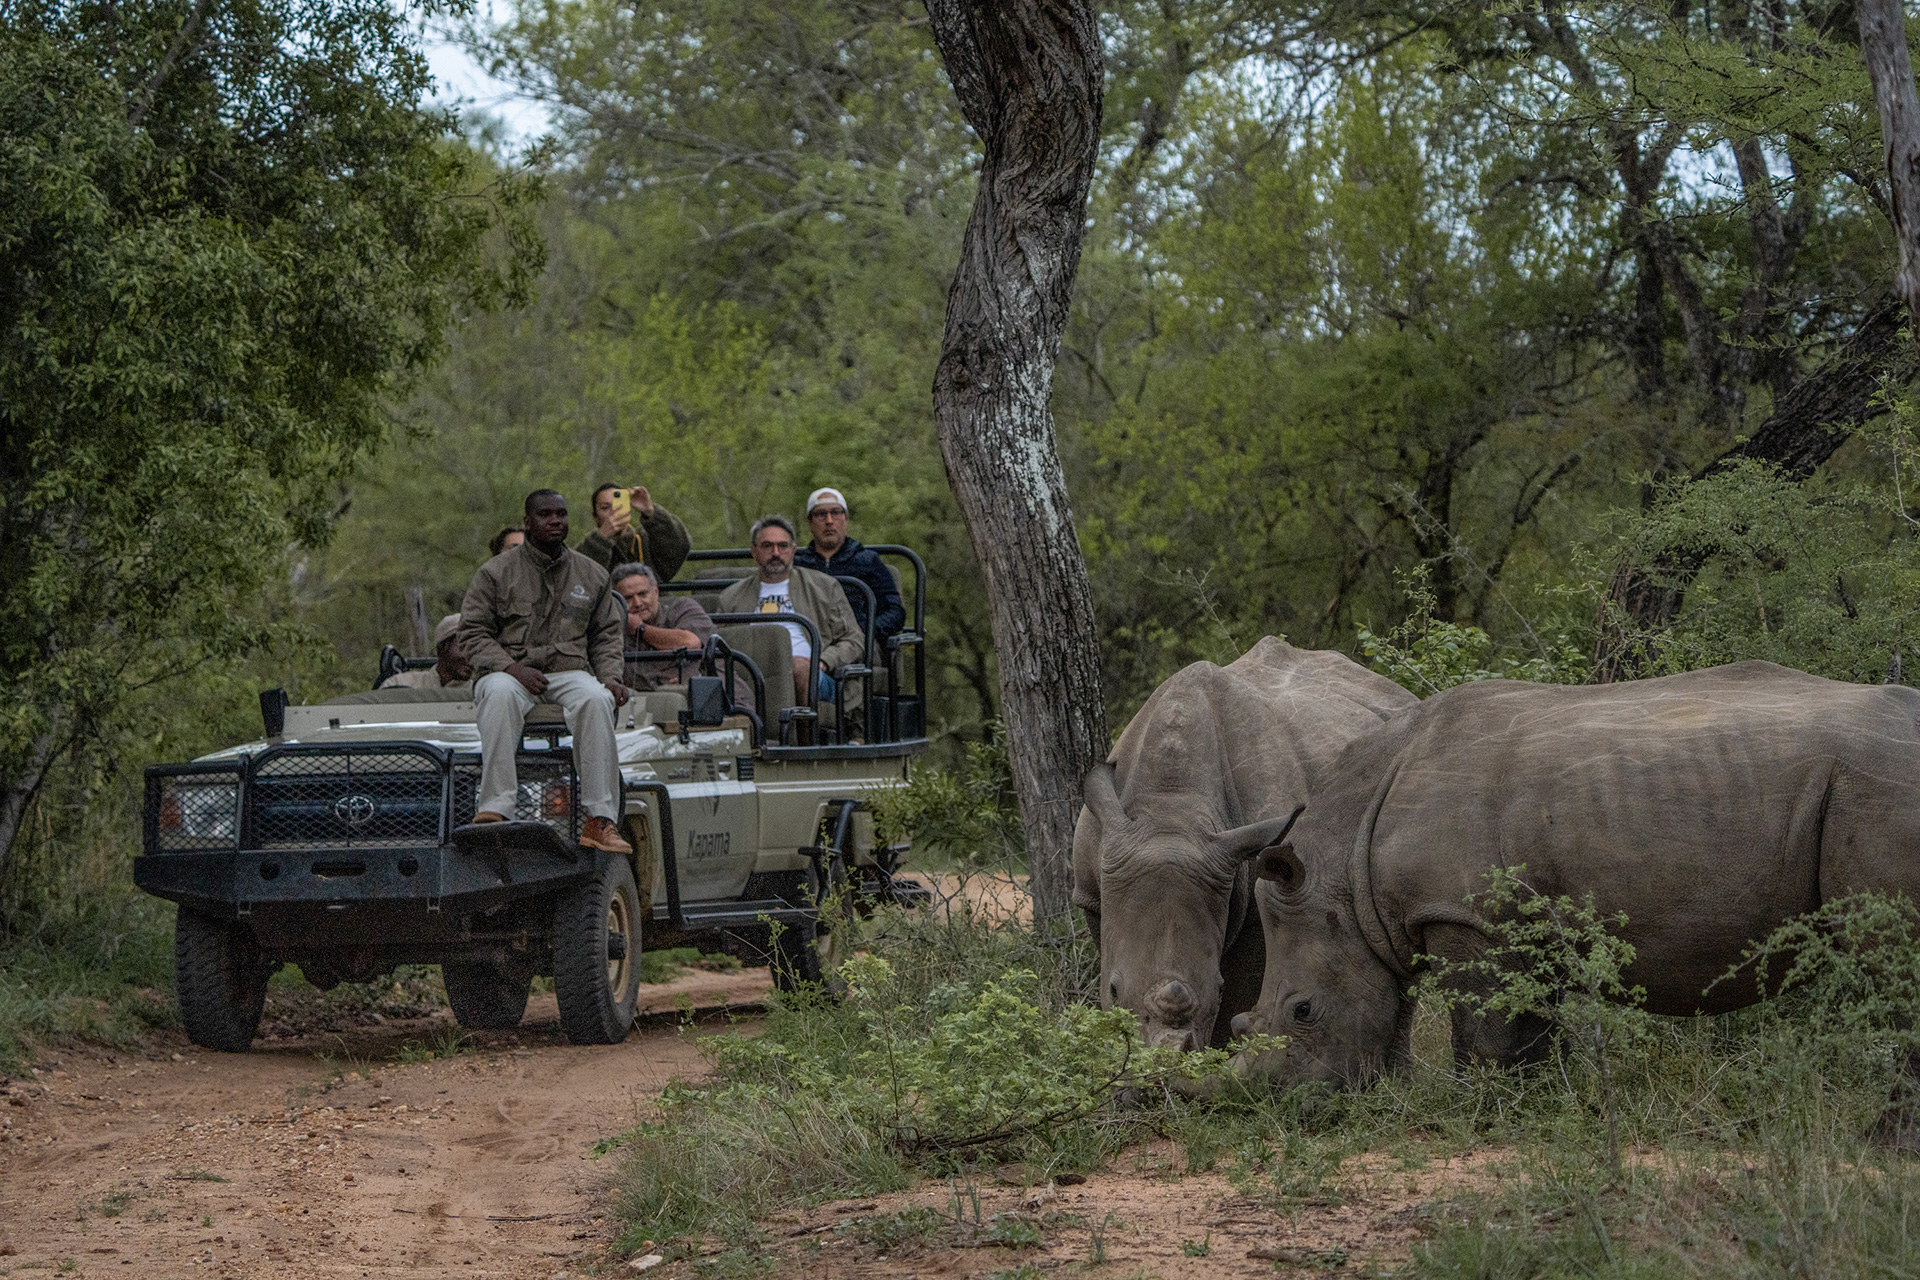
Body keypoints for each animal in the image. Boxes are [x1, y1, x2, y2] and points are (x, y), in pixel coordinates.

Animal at [1073, 637, 1414, 1052]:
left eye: (1217, 990)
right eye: (1113, 989)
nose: (1167, 1054)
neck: (1170, 807)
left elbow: (1237, 997)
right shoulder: (1092, 894)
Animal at [1232, 660, 1920, 1088]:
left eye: (1302, 1012)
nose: (1285, 1102)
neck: (1345, 862)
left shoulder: (1468, 917)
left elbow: (1488, 1031)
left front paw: (1486, 1112)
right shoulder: (1516, 921)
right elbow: (1529, 1027)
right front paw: (1543, 1108)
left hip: (1875, 784)